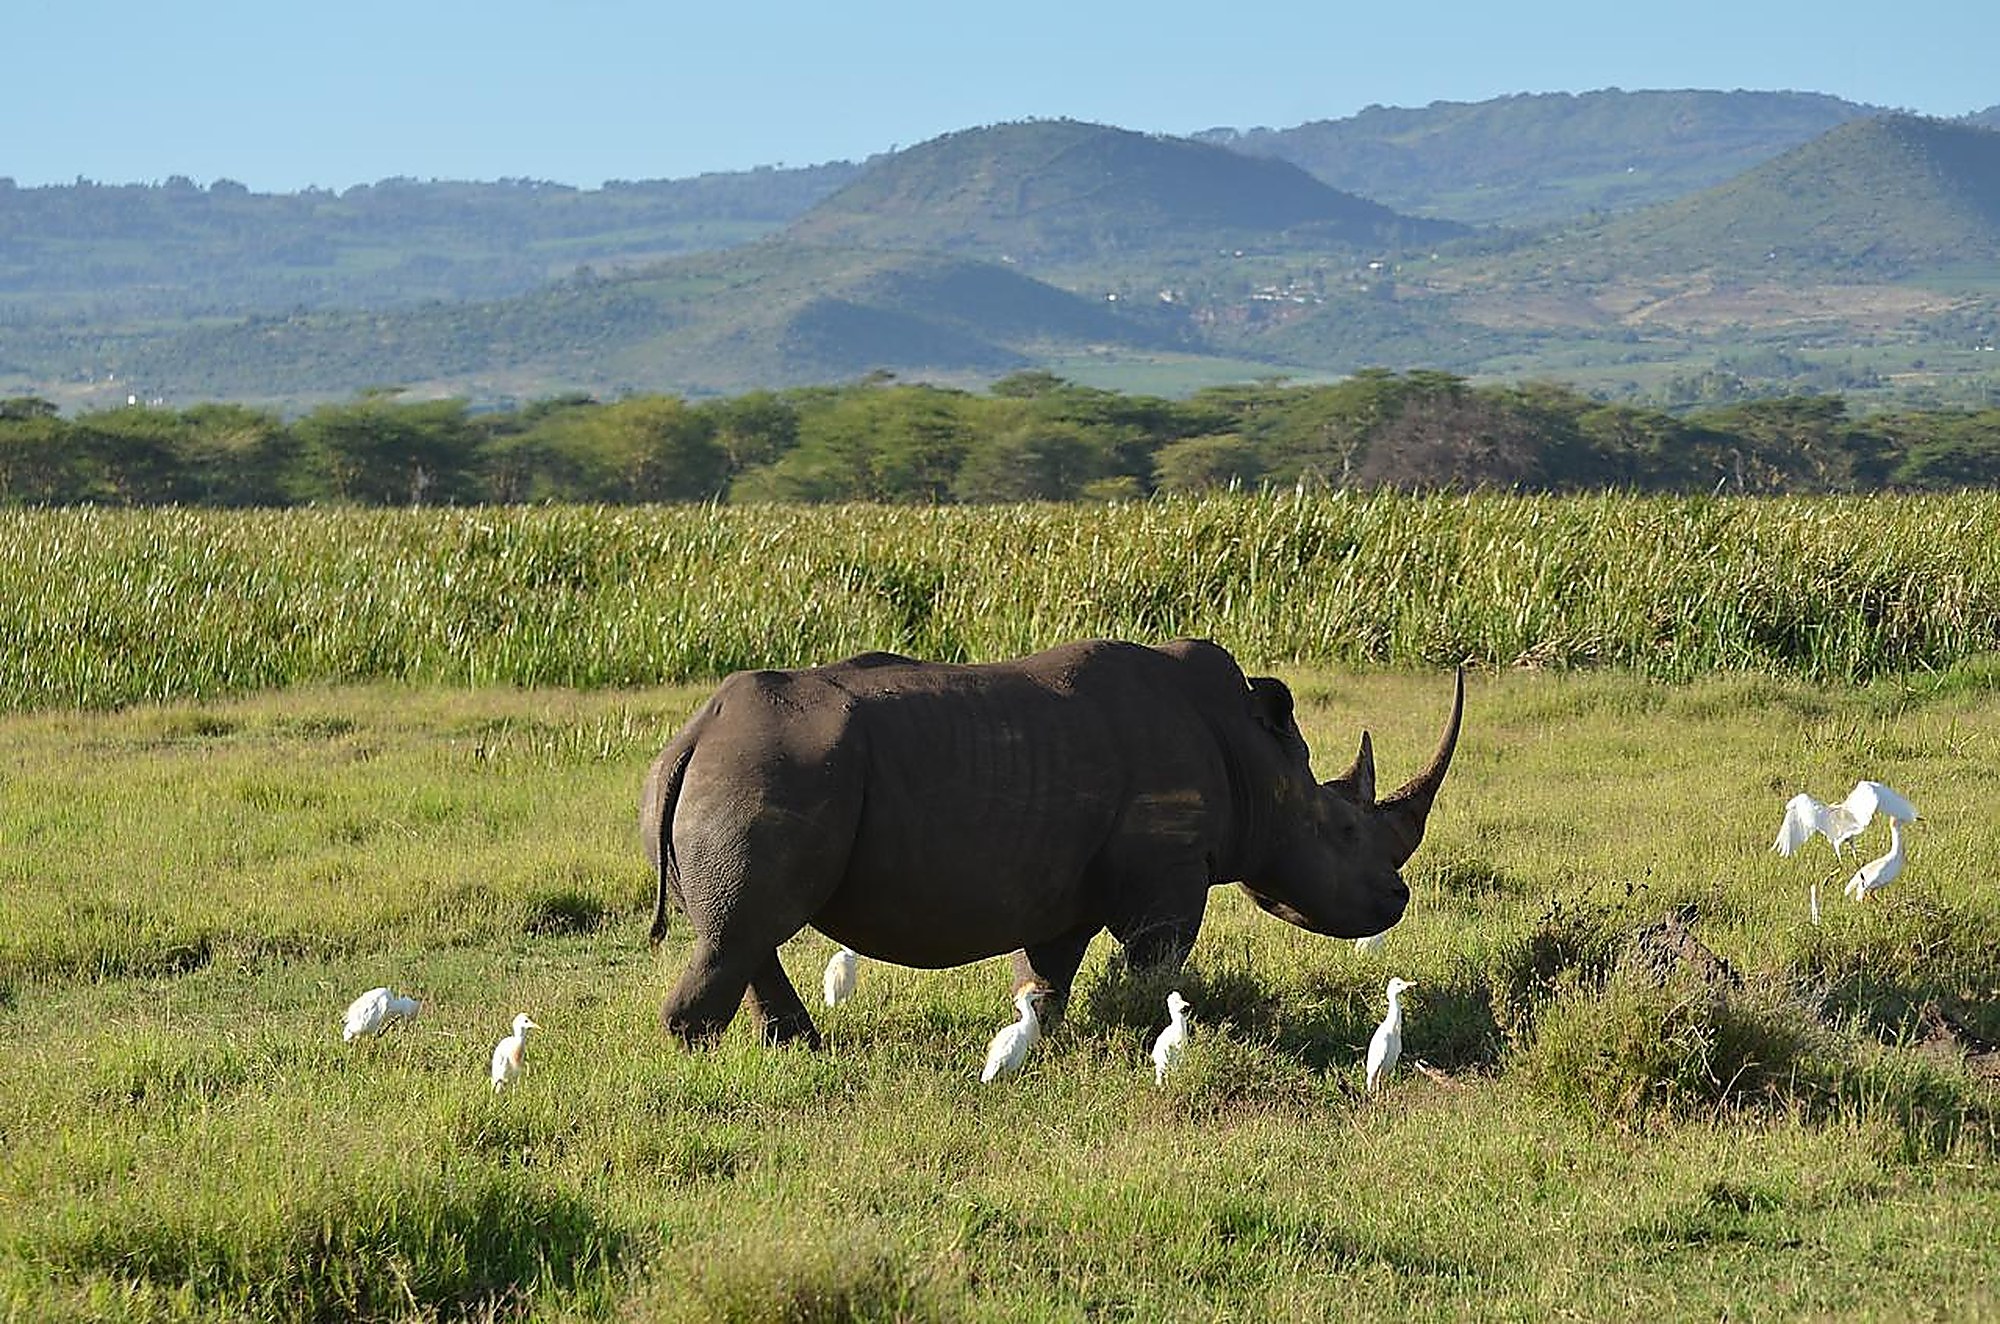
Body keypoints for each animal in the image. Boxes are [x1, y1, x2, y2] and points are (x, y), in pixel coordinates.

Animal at [641, 637, 1462, 1049]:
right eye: (1345, 830)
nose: (1397, 898)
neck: (1256, 759)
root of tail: (694, 735)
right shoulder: (1168, 872)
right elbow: (1153, 962)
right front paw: (1138, 1026)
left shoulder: (1064, 886)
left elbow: (1047, 974)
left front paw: (1042, 1036)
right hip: (766, 770)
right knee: (743, 932)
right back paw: (700, 1058)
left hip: (737, 771)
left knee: (746, 934)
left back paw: (800, 1051)